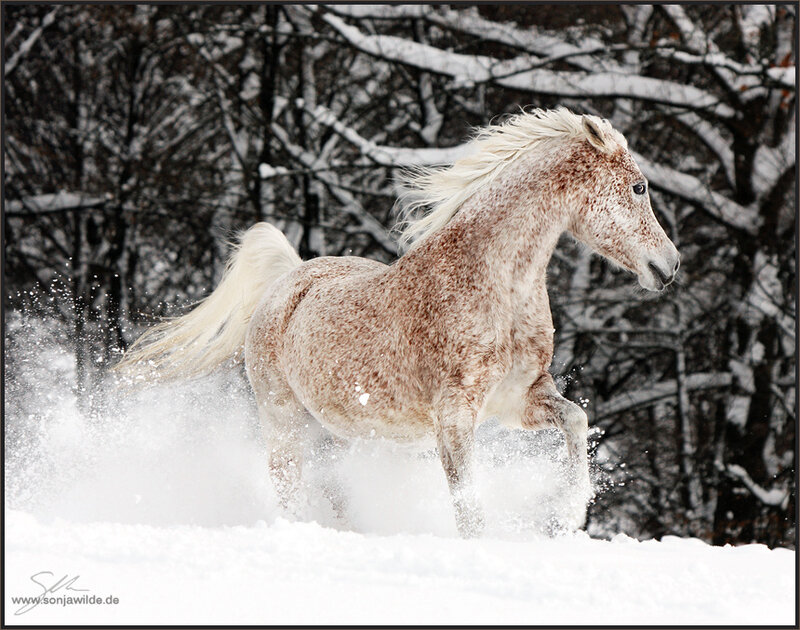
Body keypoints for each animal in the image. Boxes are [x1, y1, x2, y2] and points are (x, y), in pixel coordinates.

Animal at [117, 107, 680, 537]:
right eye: (638, 187)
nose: (670, 265)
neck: (494, 287)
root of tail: (288, 280)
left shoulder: (518, 399)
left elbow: (576, 421)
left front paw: (566, 518)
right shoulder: (453, 415)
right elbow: (467, 500)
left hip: (337, 432)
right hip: (283, 421)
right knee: (288, 487)